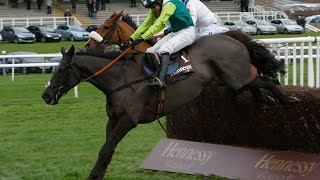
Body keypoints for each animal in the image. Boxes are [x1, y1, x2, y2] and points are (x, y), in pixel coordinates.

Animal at [42, 34, 296, 179]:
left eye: (62, 69)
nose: (46, 95)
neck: (119, 80)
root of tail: (233, 39)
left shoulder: (128, 121)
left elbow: (106, 149)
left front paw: (94, 176)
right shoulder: (112, 119)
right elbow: (107, 150)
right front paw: (97, 174)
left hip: (236, 76)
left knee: (267, 81)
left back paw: (288, 101)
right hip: (231, 79)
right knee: (255, 83)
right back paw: (266, 99)